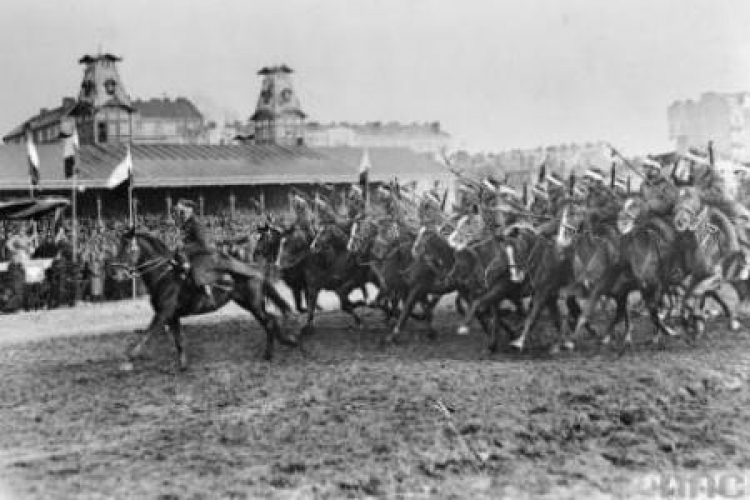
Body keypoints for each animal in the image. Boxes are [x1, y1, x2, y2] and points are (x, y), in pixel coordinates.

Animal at [116, 229, 298, 368]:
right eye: (119, 247)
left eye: (129, 249)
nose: (117, 273)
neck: (164, 275)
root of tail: (255, 270)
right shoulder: (173, 316)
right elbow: (179, 340)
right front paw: (183, 365)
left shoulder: (163, 314)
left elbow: (148, 334)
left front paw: (130, 357)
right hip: (248, 304)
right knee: (270, 320)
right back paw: (280, 345)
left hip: (254, 304)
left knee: (269, 322)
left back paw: (270, 352)